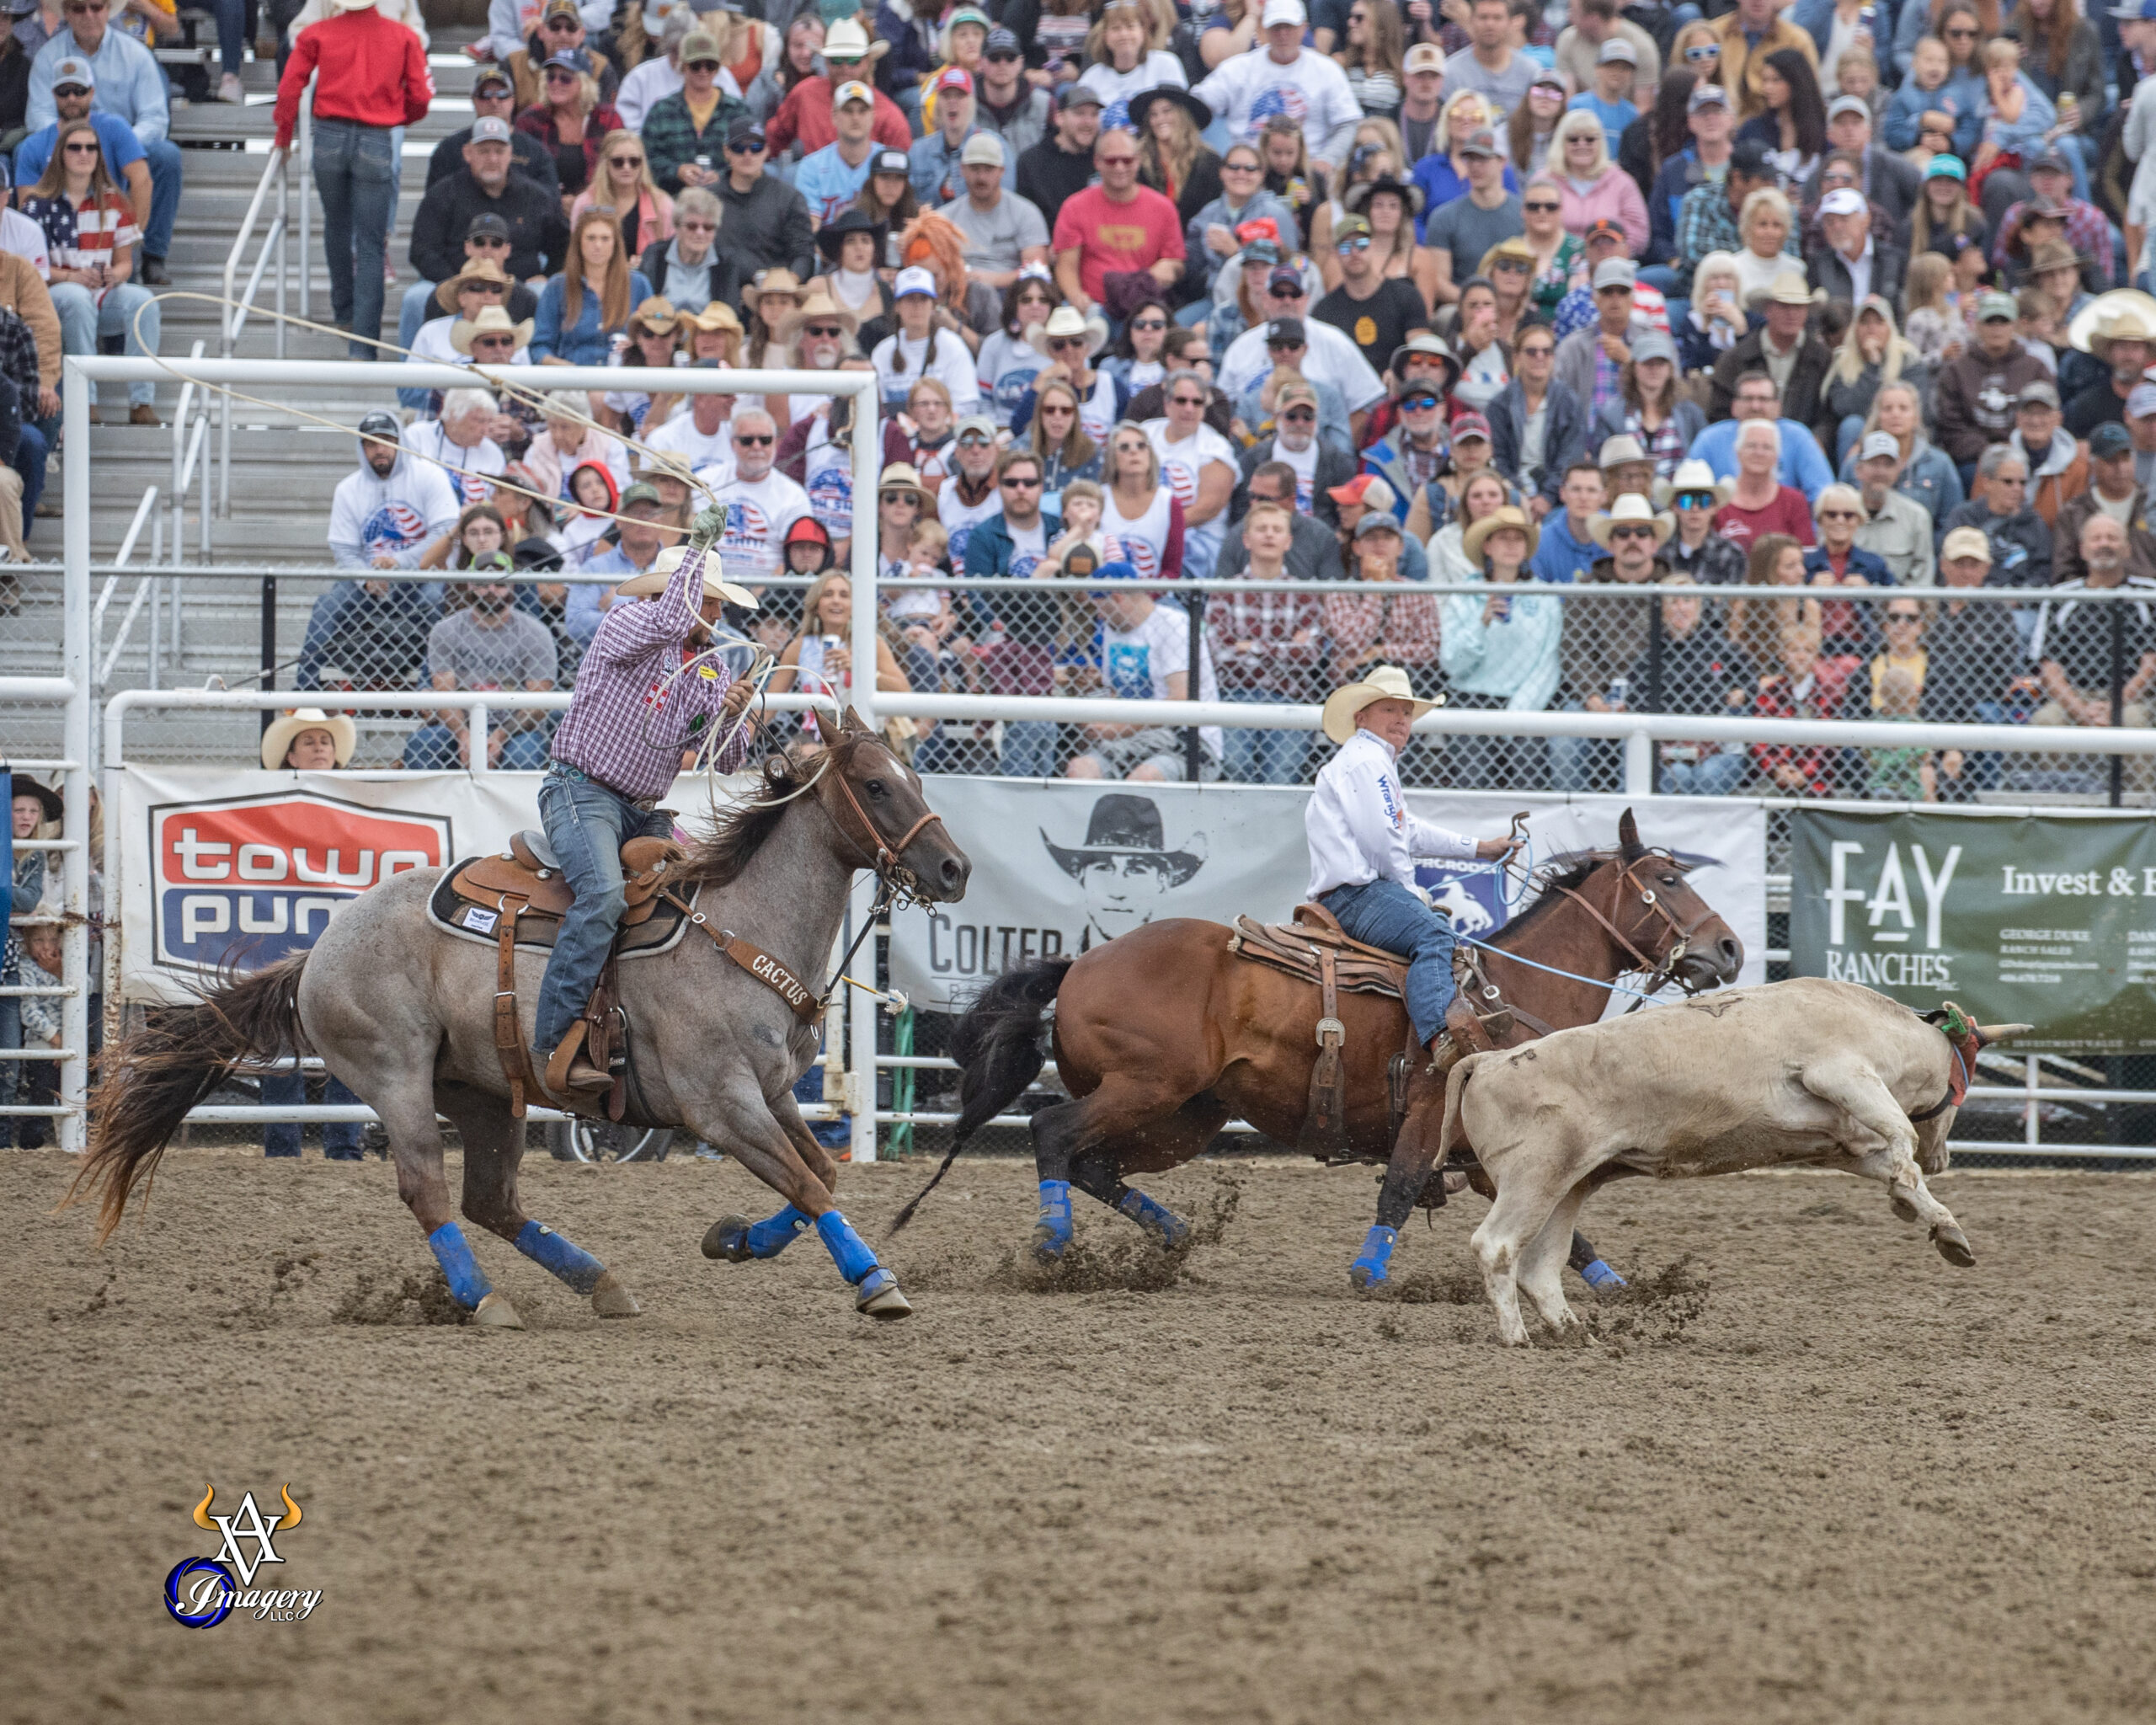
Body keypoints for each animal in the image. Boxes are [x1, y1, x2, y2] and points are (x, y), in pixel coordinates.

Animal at [72, 707, 974, 1327]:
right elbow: (807, 1182)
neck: (739, 927)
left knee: (492, 1203)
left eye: (917, 778)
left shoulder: (778, 1093)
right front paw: (877, 1284)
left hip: (480, 1091)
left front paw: (732, 1239)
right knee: (429, 1190)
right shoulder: (720, 1105)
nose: (955, 869)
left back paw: (602, 1285)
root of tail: (318, 950)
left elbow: (817, 1176)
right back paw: (485, 1302)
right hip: (395, 1076)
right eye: (876, 785)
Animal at [892, 810, 1750, 1294]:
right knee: (1053, 1135)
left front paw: (1619, 1284)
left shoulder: (1486, 1147)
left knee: (1092, 1163)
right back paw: (1053, 1243)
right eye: (1669, 879)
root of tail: (1079, 964)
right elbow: (1399, 1188)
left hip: (1186, 1117)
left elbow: (1549, 1225)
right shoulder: (1431, 1114)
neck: (1504, 991)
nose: (1731, 948)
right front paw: (1368, 1275)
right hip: (1146, 1088)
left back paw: (1173, 1237)